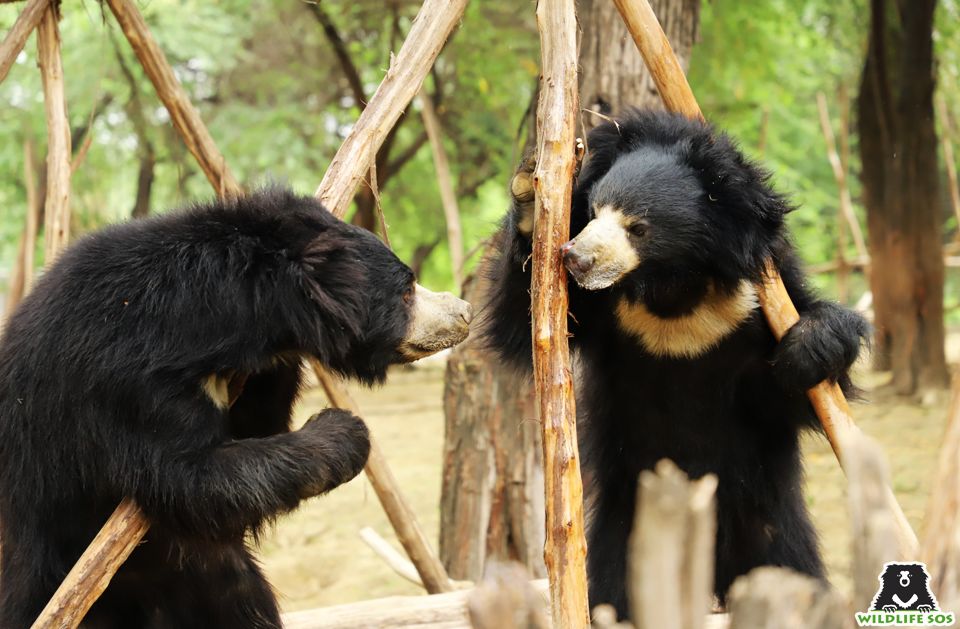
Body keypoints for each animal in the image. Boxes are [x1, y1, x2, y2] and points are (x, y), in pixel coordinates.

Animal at [0, 188, 472, 628]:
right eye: (407, 290)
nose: (465, 311)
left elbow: (253, 433)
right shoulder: (127, 381)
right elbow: (188, 476)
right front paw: (344, 430)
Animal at [484, 110, 868, 616]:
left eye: (638, 227)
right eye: (595, 211)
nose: (576, 259)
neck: (673, 289)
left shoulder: (755, 305)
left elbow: (794, 395)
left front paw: (810, 346)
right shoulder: (606, 313)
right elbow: (523, 322)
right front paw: (530, 195)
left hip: (767, 528)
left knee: (794, 578)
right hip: (627, 533)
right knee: (613, 596)